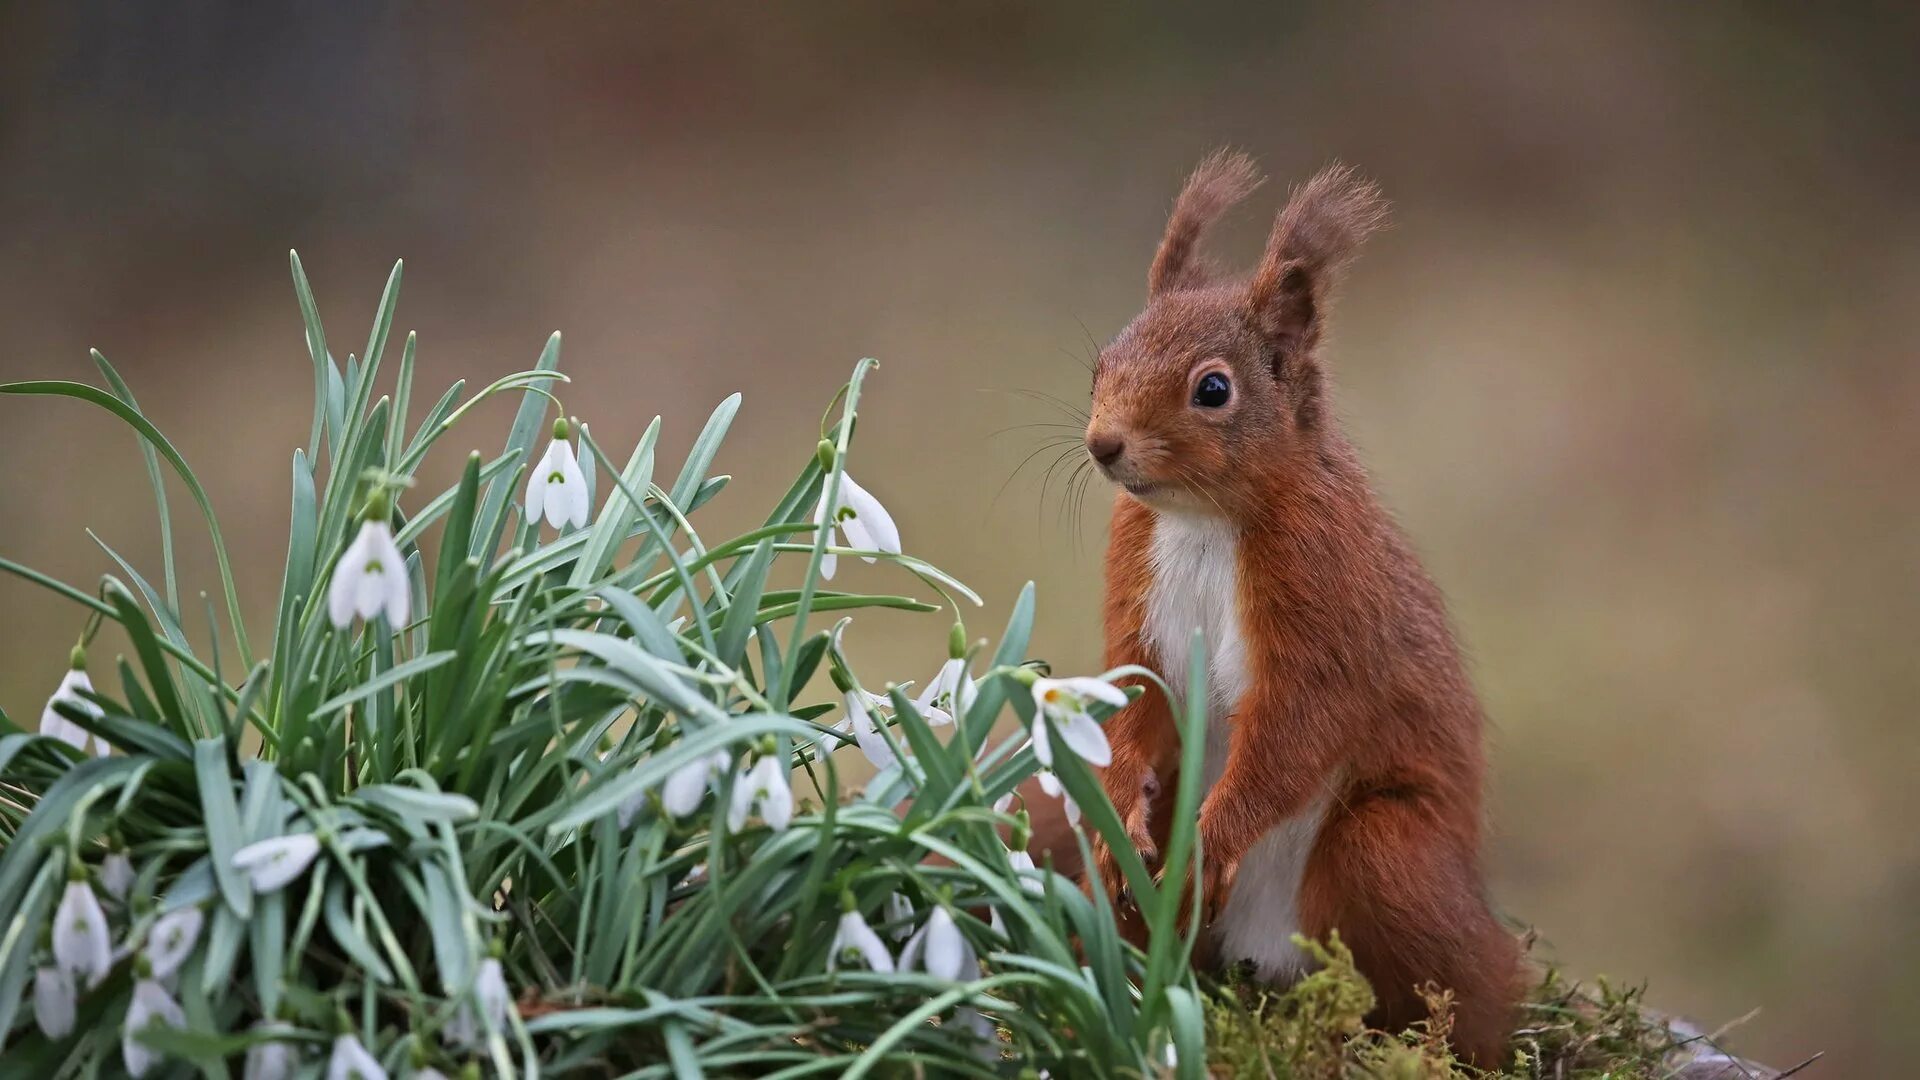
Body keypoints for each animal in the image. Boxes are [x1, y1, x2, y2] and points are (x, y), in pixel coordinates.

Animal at [1090, 151, 1520, 1060]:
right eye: (1102, 361)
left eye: (1213, 389)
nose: (1103, 445)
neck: (1203, 521)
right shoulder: (1135, 586)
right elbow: (1137, 689)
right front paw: (1121, 805)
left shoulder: (1325, 593)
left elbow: (1298, 725)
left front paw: (1213, 840)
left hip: (1387, 853)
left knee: (1469, 994)